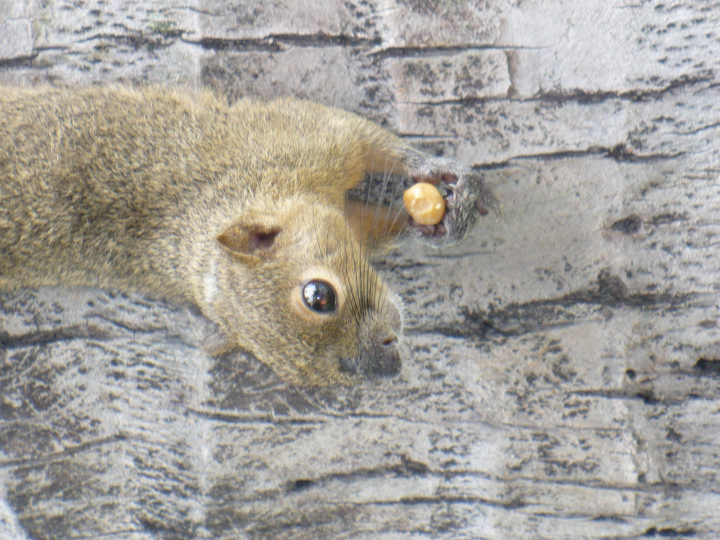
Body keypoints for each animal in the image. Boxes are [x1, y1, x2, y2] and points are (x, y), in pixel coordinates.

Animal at [0, 86, 497, 386]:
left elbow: (376, 144)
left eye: (318, 296)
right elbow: (381, 223)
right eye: (285, 368)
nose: (387, 365)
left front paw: (445, 187)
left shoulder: (305, 137)